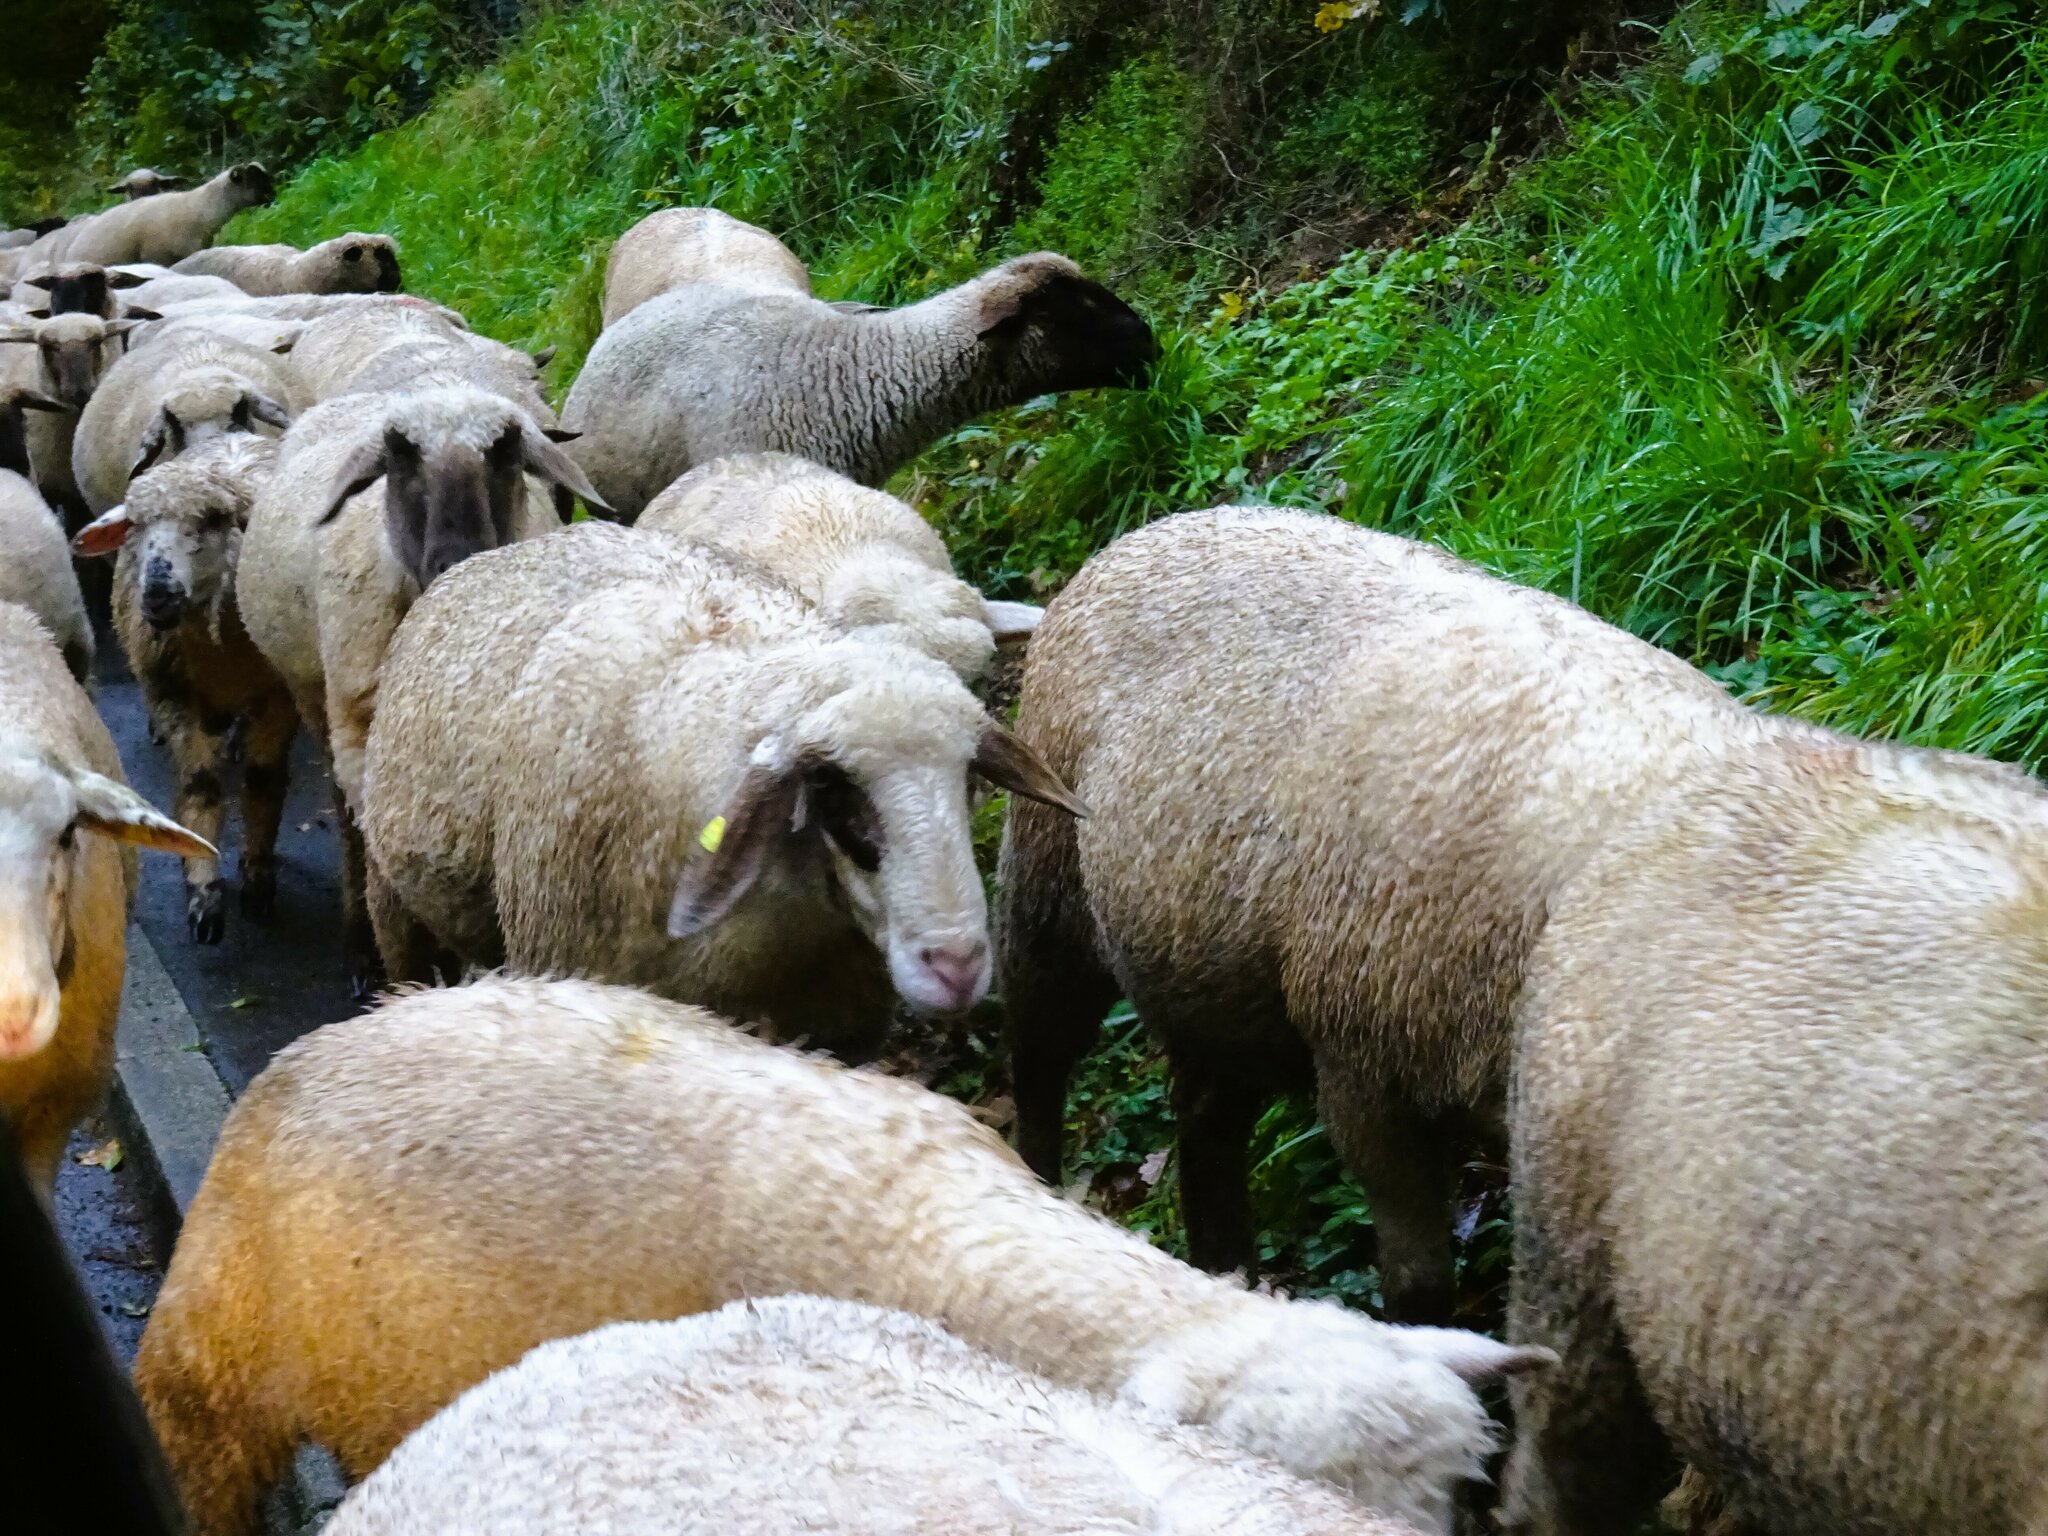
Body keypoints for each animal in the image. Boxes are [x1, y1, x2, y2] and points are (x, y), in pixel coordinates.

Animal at [74, 436, 298, 946]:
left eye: (213, 520)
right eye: (135, 524)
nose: (158, 590)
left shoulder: (278, 698)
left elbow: (263, 780)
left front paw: (258, 877)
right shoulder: (174, 695)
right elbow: (200, 786)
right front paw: (204, 894)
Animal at [237, 385, 600, 994]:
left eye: (506, 450)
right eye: (400, 455)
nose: (458, 555)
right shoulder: (358, 716)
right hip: (312, 691)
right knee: (346, 816)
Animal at [992, 506, 1815, 1320]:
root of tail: (1159, 525)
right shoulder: (1367, 1076)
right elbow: (1418, 1285)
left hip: (1215, 979)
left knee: (1204, 1118)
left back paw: (1225, 1267)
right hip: (1049, 886)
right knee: (1038, 1055)